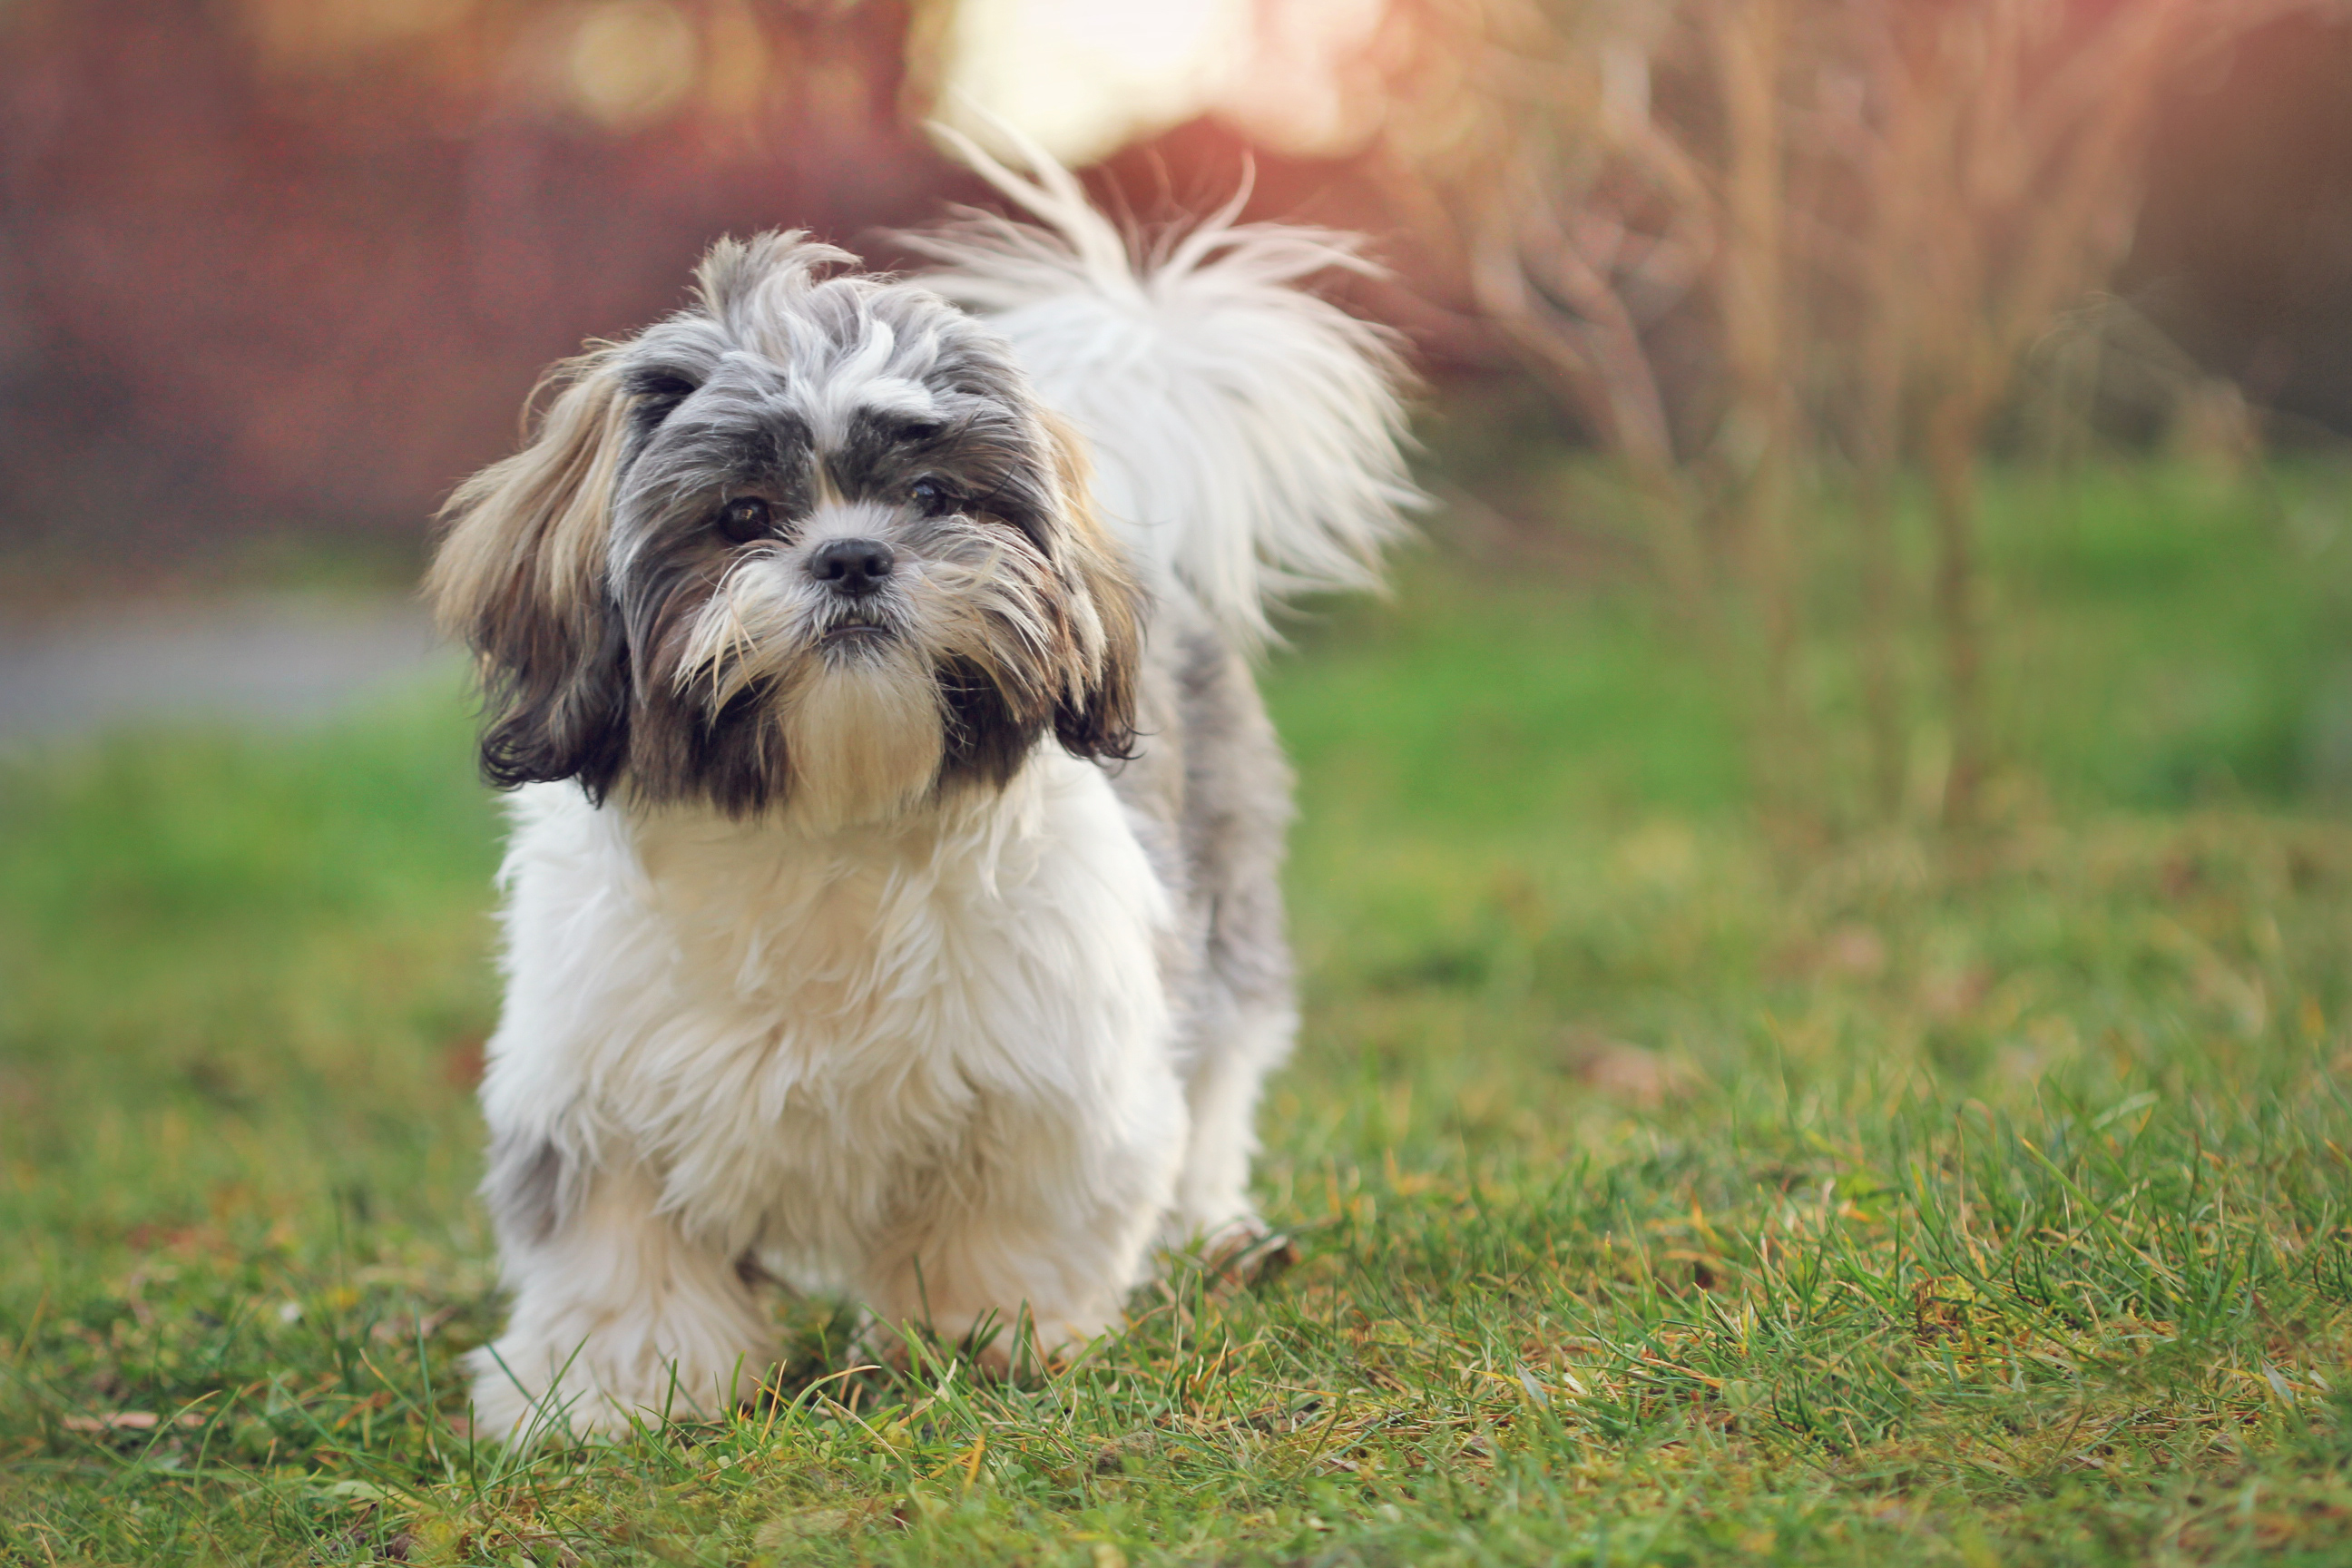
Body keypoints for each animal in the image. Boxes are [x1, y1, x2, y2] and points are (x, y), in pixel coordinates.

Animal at [427, 141, 1411, 1438]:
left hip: (1223, 914)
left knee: (1217, 1083)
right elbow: (619, 1251)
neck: (828, 822)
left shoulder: (1051, 1070)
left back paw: (1211, 1232)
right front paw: (615, 1389)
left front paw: (986, 1338)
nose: (852, 556)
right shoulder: (594, 1086)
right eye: (742, 517)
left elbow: (1010, 1219)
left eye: (937, 499)